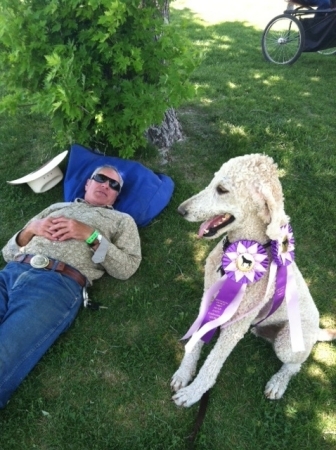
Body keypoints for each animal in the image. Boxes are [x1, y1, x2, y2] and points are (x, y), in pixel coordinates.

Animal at [172, 153, 334, 406]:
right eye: (212, 181)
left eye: (222, 189)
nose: (181, 210)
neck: (239, 253)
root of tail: (316, 330)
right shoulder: (208, 299)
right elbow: (196, 338)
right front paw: (183, 373)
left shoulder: (236, 326)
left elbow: (212, 364)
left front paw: (194, 392)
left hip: (288, 343)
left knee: (294, 365)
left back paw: (277, 383)